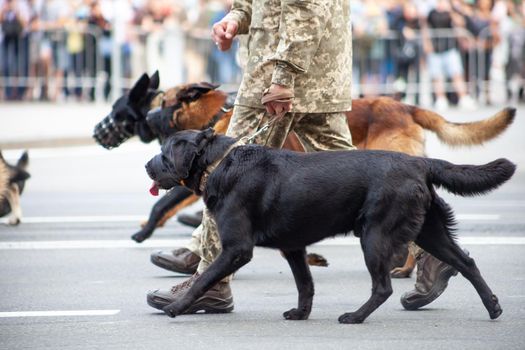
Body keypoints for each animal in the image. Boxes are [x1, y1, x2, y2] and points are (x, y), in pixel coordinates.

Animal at [145, 129, 512, 326]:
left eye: (163, 153)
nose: (146, 165)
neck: (220, 163)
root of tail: (419, 161)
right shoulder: (293, 247)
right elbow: (305, 284)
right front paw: (301, 313)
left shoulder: (237, 248)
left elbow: (204, 277)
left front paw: (177, 307)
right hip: (430, 230)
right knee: (467, 262)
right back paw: (493, 307)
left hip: (375, 235)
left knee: (383, 287)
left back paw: (356, 316)